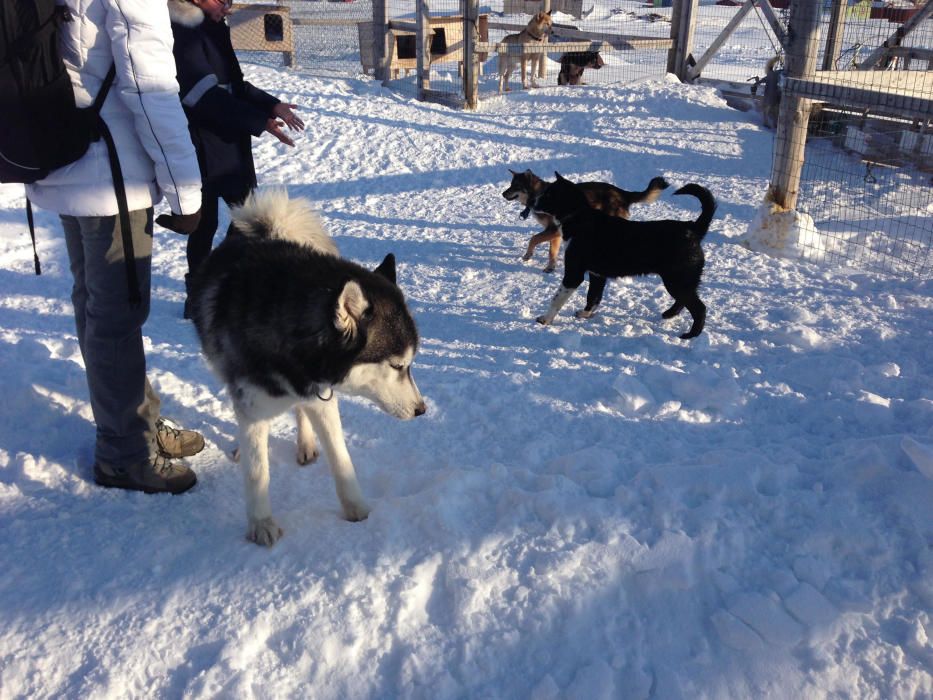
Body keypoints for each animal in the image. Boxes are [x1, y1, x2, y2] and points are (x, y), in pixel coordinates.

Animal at [502, 170, 668, 274]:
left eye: (516, 186)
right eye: (510, 184)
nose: (503, 194)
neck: (537, 194)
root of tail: (623, 193)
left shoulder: (554, 230)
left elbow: (534, 239)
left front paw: (528, 255)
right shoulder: (556, 233)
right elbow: (552, 252)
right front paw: (550, 268)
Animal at [532, 174, 712, 340]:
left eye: (549, 194)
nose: (532, 202)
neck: (578, 215)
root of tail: (693, 229)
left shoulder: (573, 274)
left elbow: (557, 298)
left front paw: (545, 319)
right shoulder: (597, 274)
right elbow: (593, 296)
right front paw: (585, 314)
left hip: (677, 280)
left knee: (699, 308)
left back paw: (691, 335)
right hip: (679, 281)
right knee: (683, 302)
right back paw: (668, 314)